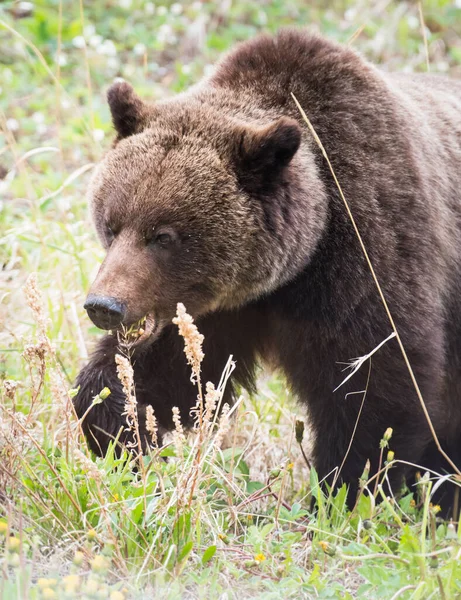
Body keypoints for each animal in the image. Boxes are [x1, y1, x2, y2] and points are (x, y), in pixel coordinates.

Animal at [73, 27, 460, 506]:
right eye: (111, 224)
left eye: (164, 236)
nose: (104, 305)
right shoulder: (218, 310)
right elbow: (174, 371)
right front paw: (123, 435)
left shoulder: (370, 255)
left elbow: (375, 391)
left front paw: (343, 494)